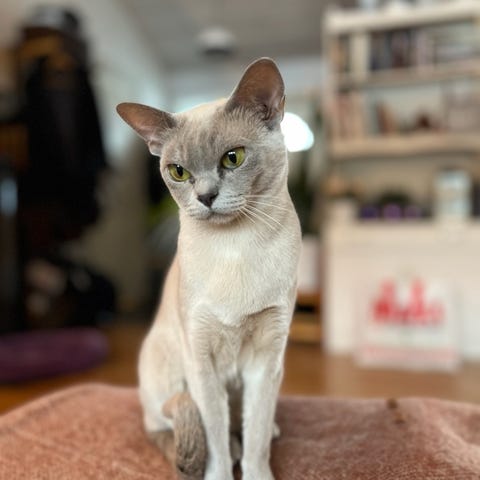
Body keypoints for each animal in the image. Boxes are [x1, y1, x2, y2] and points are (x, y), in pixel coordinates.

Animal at [117, 57, 301, 480]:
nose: (205, 197)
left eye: (233, 158)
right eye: (179, 172)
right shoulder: (202, 360)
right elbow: (214, 437)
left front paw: (256, 471)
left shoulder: (267, 358)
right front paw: (220, 470)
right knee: (174, 427)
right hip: (168, 363)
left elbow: (255, 441)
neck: (235, 247)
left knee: (249, 427)